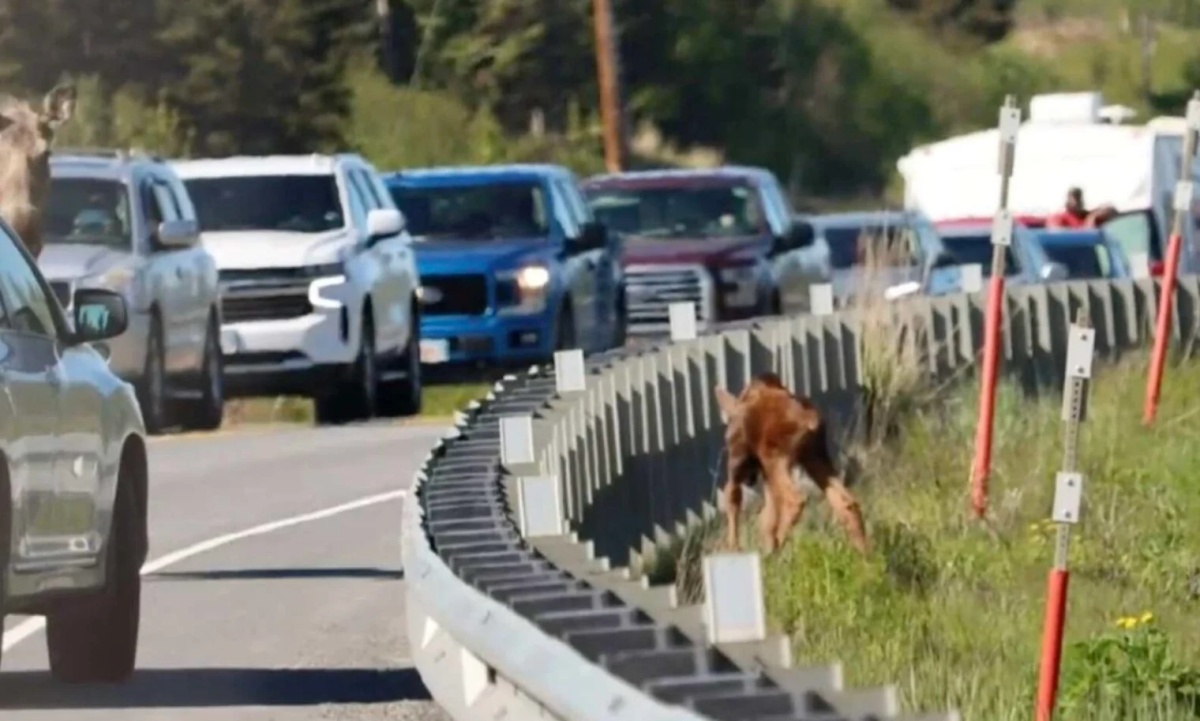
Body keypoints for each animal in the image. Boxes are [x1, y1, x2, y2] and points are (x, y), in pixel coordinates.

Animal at [715, 374, 868, 554]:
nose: (750, 479)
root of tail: (810, 421)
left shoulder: (739, 459)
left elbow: (732, 497)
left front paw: (734, 548)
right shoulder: (764, 472)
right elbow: (767, 517)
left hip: (775, 458)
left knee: (794, 500)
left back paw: (776, 544)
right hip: (813, 456)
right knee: (846, 502)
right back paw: (867, 556)